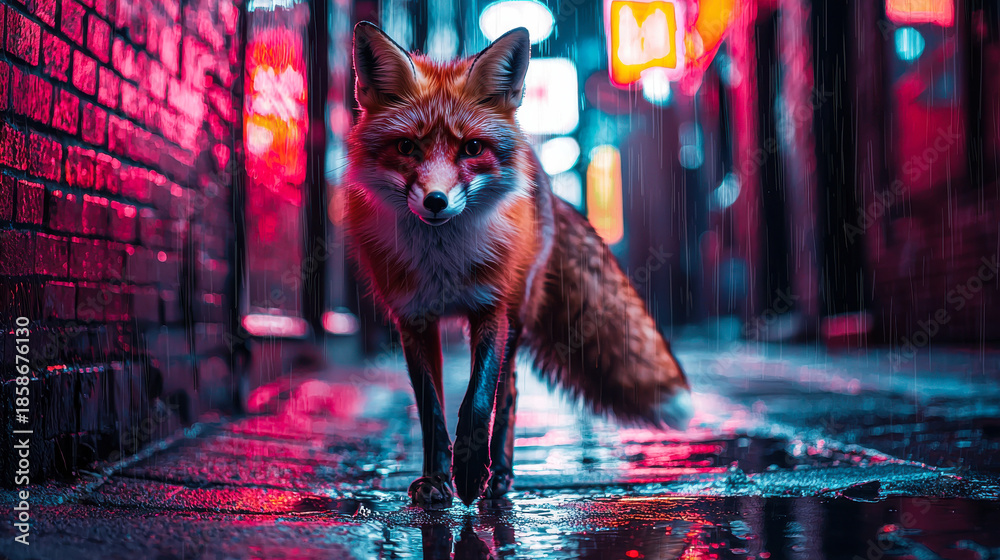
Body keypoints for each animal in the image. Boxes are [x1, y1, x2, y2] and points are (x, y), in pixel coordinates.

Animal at [345, 22, 693, 507]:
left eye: (472, 148)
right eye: (406, 147)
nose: (436, 201)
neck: (442, 262)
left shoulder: (492, 308)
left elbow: (478, 398)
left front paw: (470, 471)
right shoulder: (413, 318)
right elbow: (431, 409)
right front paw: (436, 480)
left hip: (520, 311)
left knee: (507, 391)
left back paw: (501, 478)